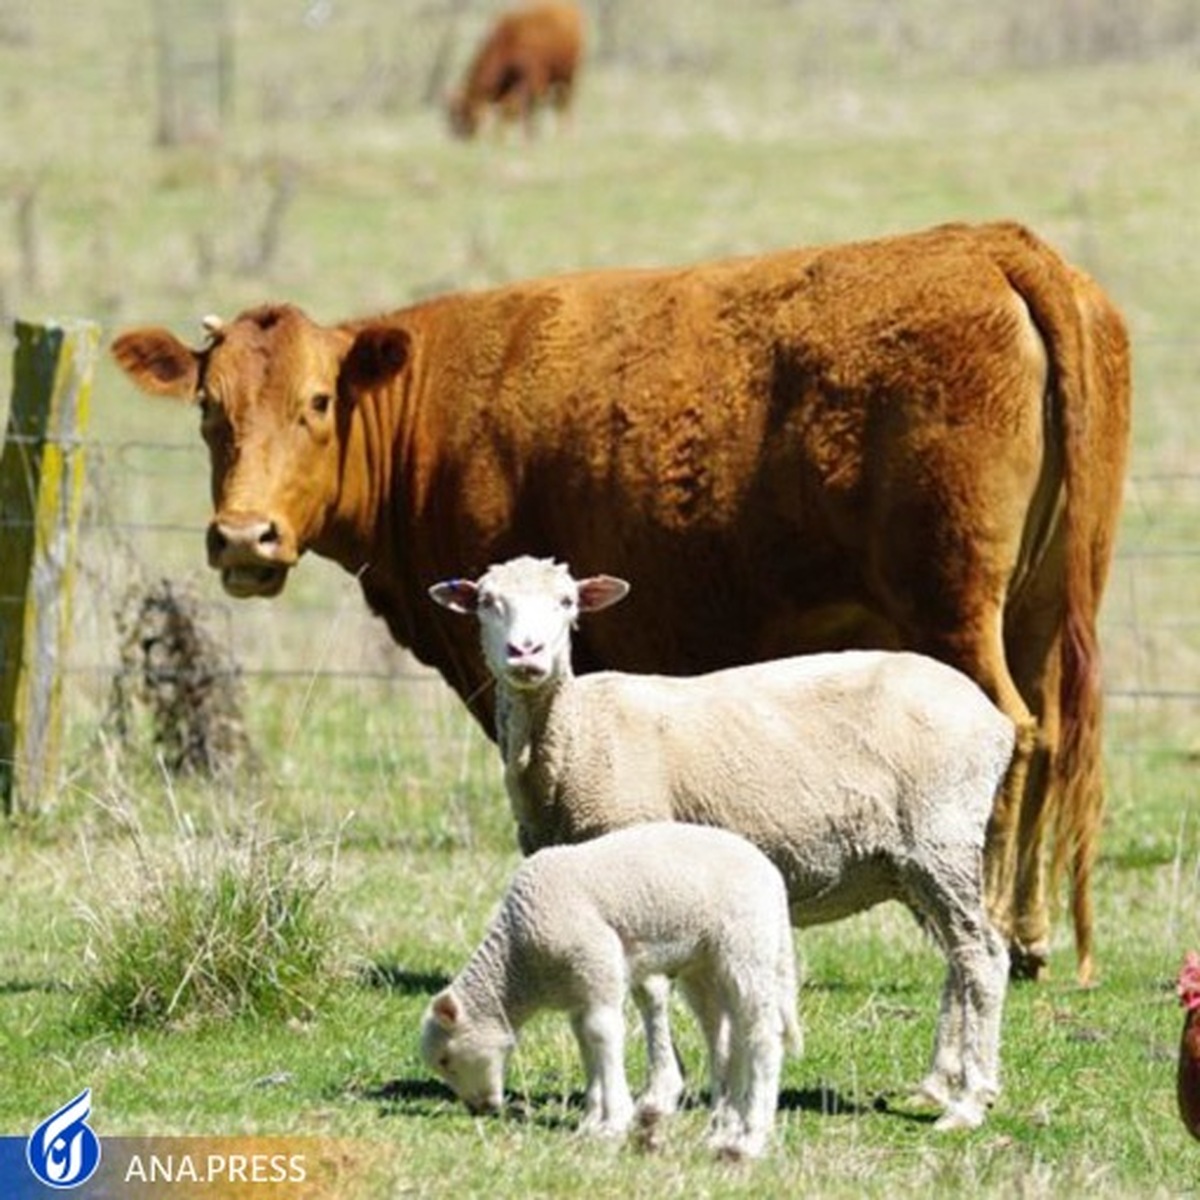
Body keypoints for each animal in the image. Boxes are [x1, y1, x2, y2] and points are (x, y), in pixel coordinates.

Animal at [108, 223, 1128, 984]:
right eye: (208, 409)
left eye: (319, 402)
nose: (244, 538)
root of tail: (992, 245)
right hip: (1039, 606)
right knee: (1049, 735)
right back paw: (1030, 934)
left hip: (952, 606)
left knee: (1013, 731)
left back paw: (988, 925)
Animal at [417, 820, 801, 1156]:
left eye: (446, 1059)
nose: (478, 1108)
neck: (519, 966)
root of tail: (774, 881)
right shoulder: (579, 989)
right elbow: (586, 1042)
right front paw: (591, 1120)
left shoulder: (596, 963)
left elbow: (603, 1034)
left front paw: (614, 1121)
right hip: (707, 965)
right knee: (725, 1038)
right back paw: (721, 1126)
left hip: (746, 946)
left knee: (763, 1035)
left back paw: (750, 1137)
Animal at [429, 556, 1012, 1128]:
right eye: (486, 602)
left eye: (567, 602)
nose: (526, 653)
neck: (574, 734)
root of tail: (994, 720)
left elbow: (650, 988)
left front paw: (659, 1091)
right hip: (911, 863)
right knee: (958, 958)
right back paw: (936, 1084)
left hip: (942, 836)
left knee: (982, 954)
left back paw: (970, 1101)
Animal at [448, 1, 583, 138]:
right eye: (453, 115)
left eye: (465, 112)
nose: (459, 135)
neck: (507, 43)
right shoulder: (508, 92)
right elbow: (506, 116)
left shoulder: (532, 86)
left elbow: (526, 117)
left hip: (568, 77)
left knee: (564, 105)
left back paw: (565, 134)